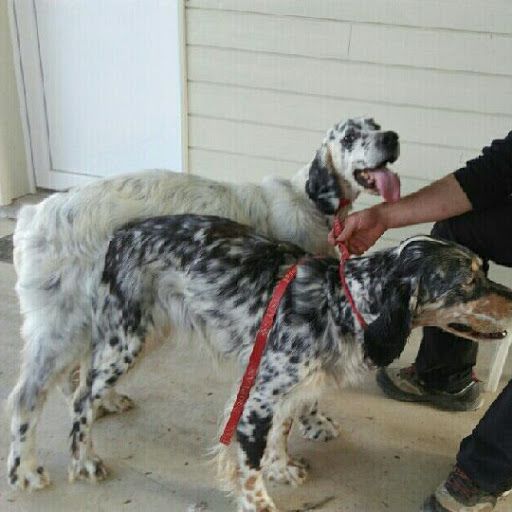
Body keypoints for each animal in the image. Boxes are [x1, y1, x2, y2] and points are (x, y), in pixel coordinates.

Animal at [7, 117, 400, 492]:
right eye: (349, 136)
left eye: (376, 125)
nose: (392, 137)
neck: (309, 202)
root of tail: (32, 216)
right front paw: (296, 442)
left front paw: (310, 426)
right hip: (70, 326)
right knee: (30, 396)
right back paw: (29, 468)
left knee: (79, 382)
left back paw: (105, 405)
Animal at [9, 214, 512, 510]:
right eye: (468, 283)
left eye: (484, 271)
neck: (340, 301)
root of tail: (120, 233)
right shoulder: (256, 400)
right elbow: (247, 465)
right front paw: (261, 494)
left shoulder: (288, 391)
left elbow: (282, 433)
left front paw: (281, 466)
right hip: (126, 338)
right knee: (74, 398)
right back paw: (80, 460)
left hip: (143, 332)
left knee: (79, 383)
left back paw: (106, 408)